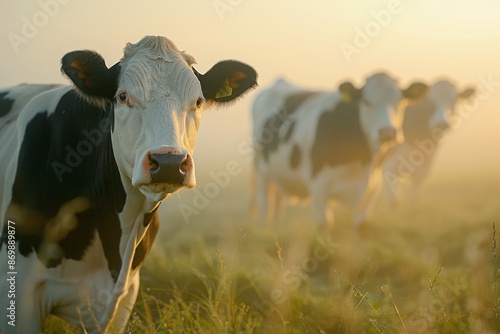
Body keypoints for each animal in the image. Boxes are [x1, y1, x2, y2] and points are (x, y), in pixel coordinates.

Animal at [252, 73, 428, 228]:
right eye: (366, 102)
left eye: (400, 101)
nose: (387, 131)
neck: (360, 159)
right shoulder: (318, 184)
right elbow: (324, 224)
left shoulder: (372, 187)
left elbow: (362, 226)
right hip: (261, 170)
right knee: (265, 205)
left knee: (277, 203)